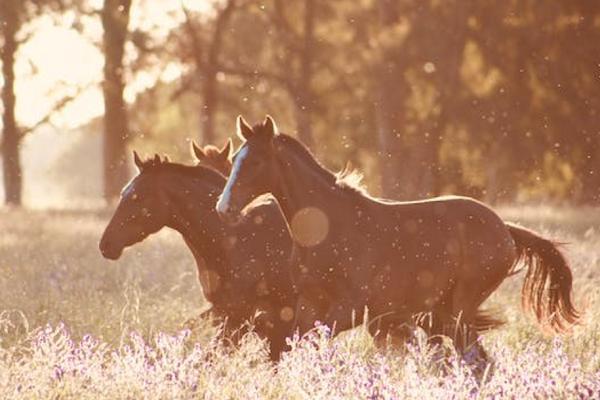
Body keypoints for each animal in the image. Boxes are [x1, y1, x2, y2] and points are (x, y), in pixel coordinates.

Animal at [101, 151, 302, 360]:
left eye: (137, 197)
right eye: (124, 193)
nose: (106, 244)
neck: (237, 240)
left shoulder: (253, 318)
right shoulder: (229, 315)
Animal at [213, 115, 580, 356]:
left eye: (256, 162)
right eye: (236, 159)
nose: (223, 208)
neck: (328, 230)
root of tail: (505, 228)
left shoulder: (350, 308)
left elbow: (313, 343)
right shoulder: (309, 302)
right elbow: (295, 344)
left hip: (459, 309)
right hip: (440, 314)